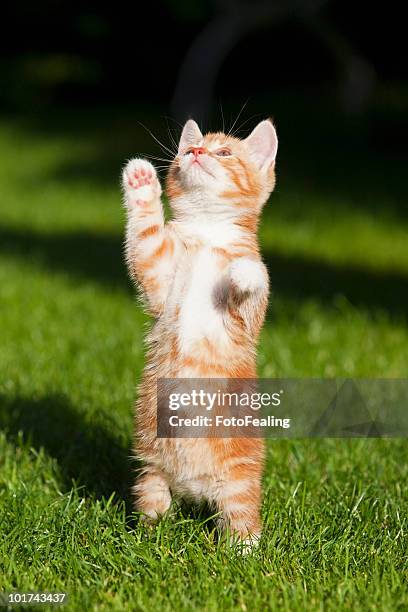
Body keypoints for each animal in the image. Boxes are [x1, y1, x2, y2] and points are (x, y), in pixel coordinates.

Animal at [121, 119, 278, 548]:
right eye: (186, 151)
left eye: (224, 152)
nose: (194, 152)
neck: (209, 234)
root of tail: (194, 488)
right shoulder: (159, 278)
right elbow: (145, 245)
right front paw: (141, 184)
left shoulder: (249, 318)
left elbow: (255, 280)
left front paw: (243, 273)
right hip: (150, 472)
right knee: (154, 505)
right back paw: (147, 538)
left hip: (239, 481)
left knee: (241, 519)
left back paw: (244, 551)